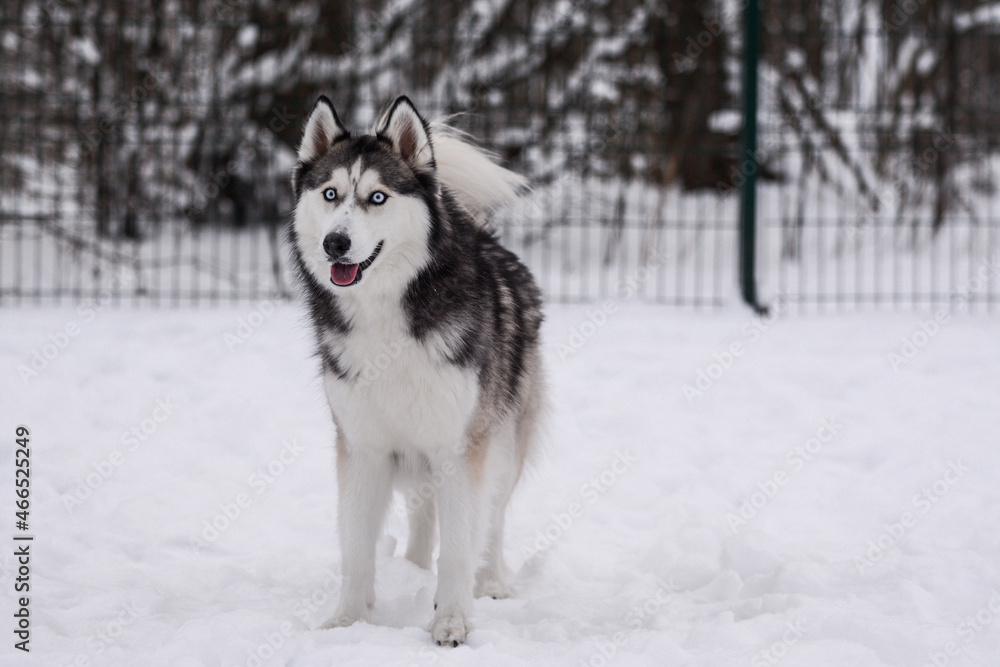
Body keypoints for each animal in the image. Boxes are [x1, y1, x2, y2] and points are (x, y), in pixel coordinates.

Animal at [286, 96, 552, 644]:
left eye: (378, 197)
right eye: (330, 193)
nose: (335, 243)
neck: (387, 313)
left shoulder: (460, 447)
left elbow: (460, 544)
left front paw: (451, 622)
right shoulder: (362, 447)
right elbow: (356, 546)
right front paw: (348, 621)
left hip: (503, 439)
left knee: (492, 517)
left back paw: (491, 582)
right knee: (423, 513)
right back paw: (411, 569)